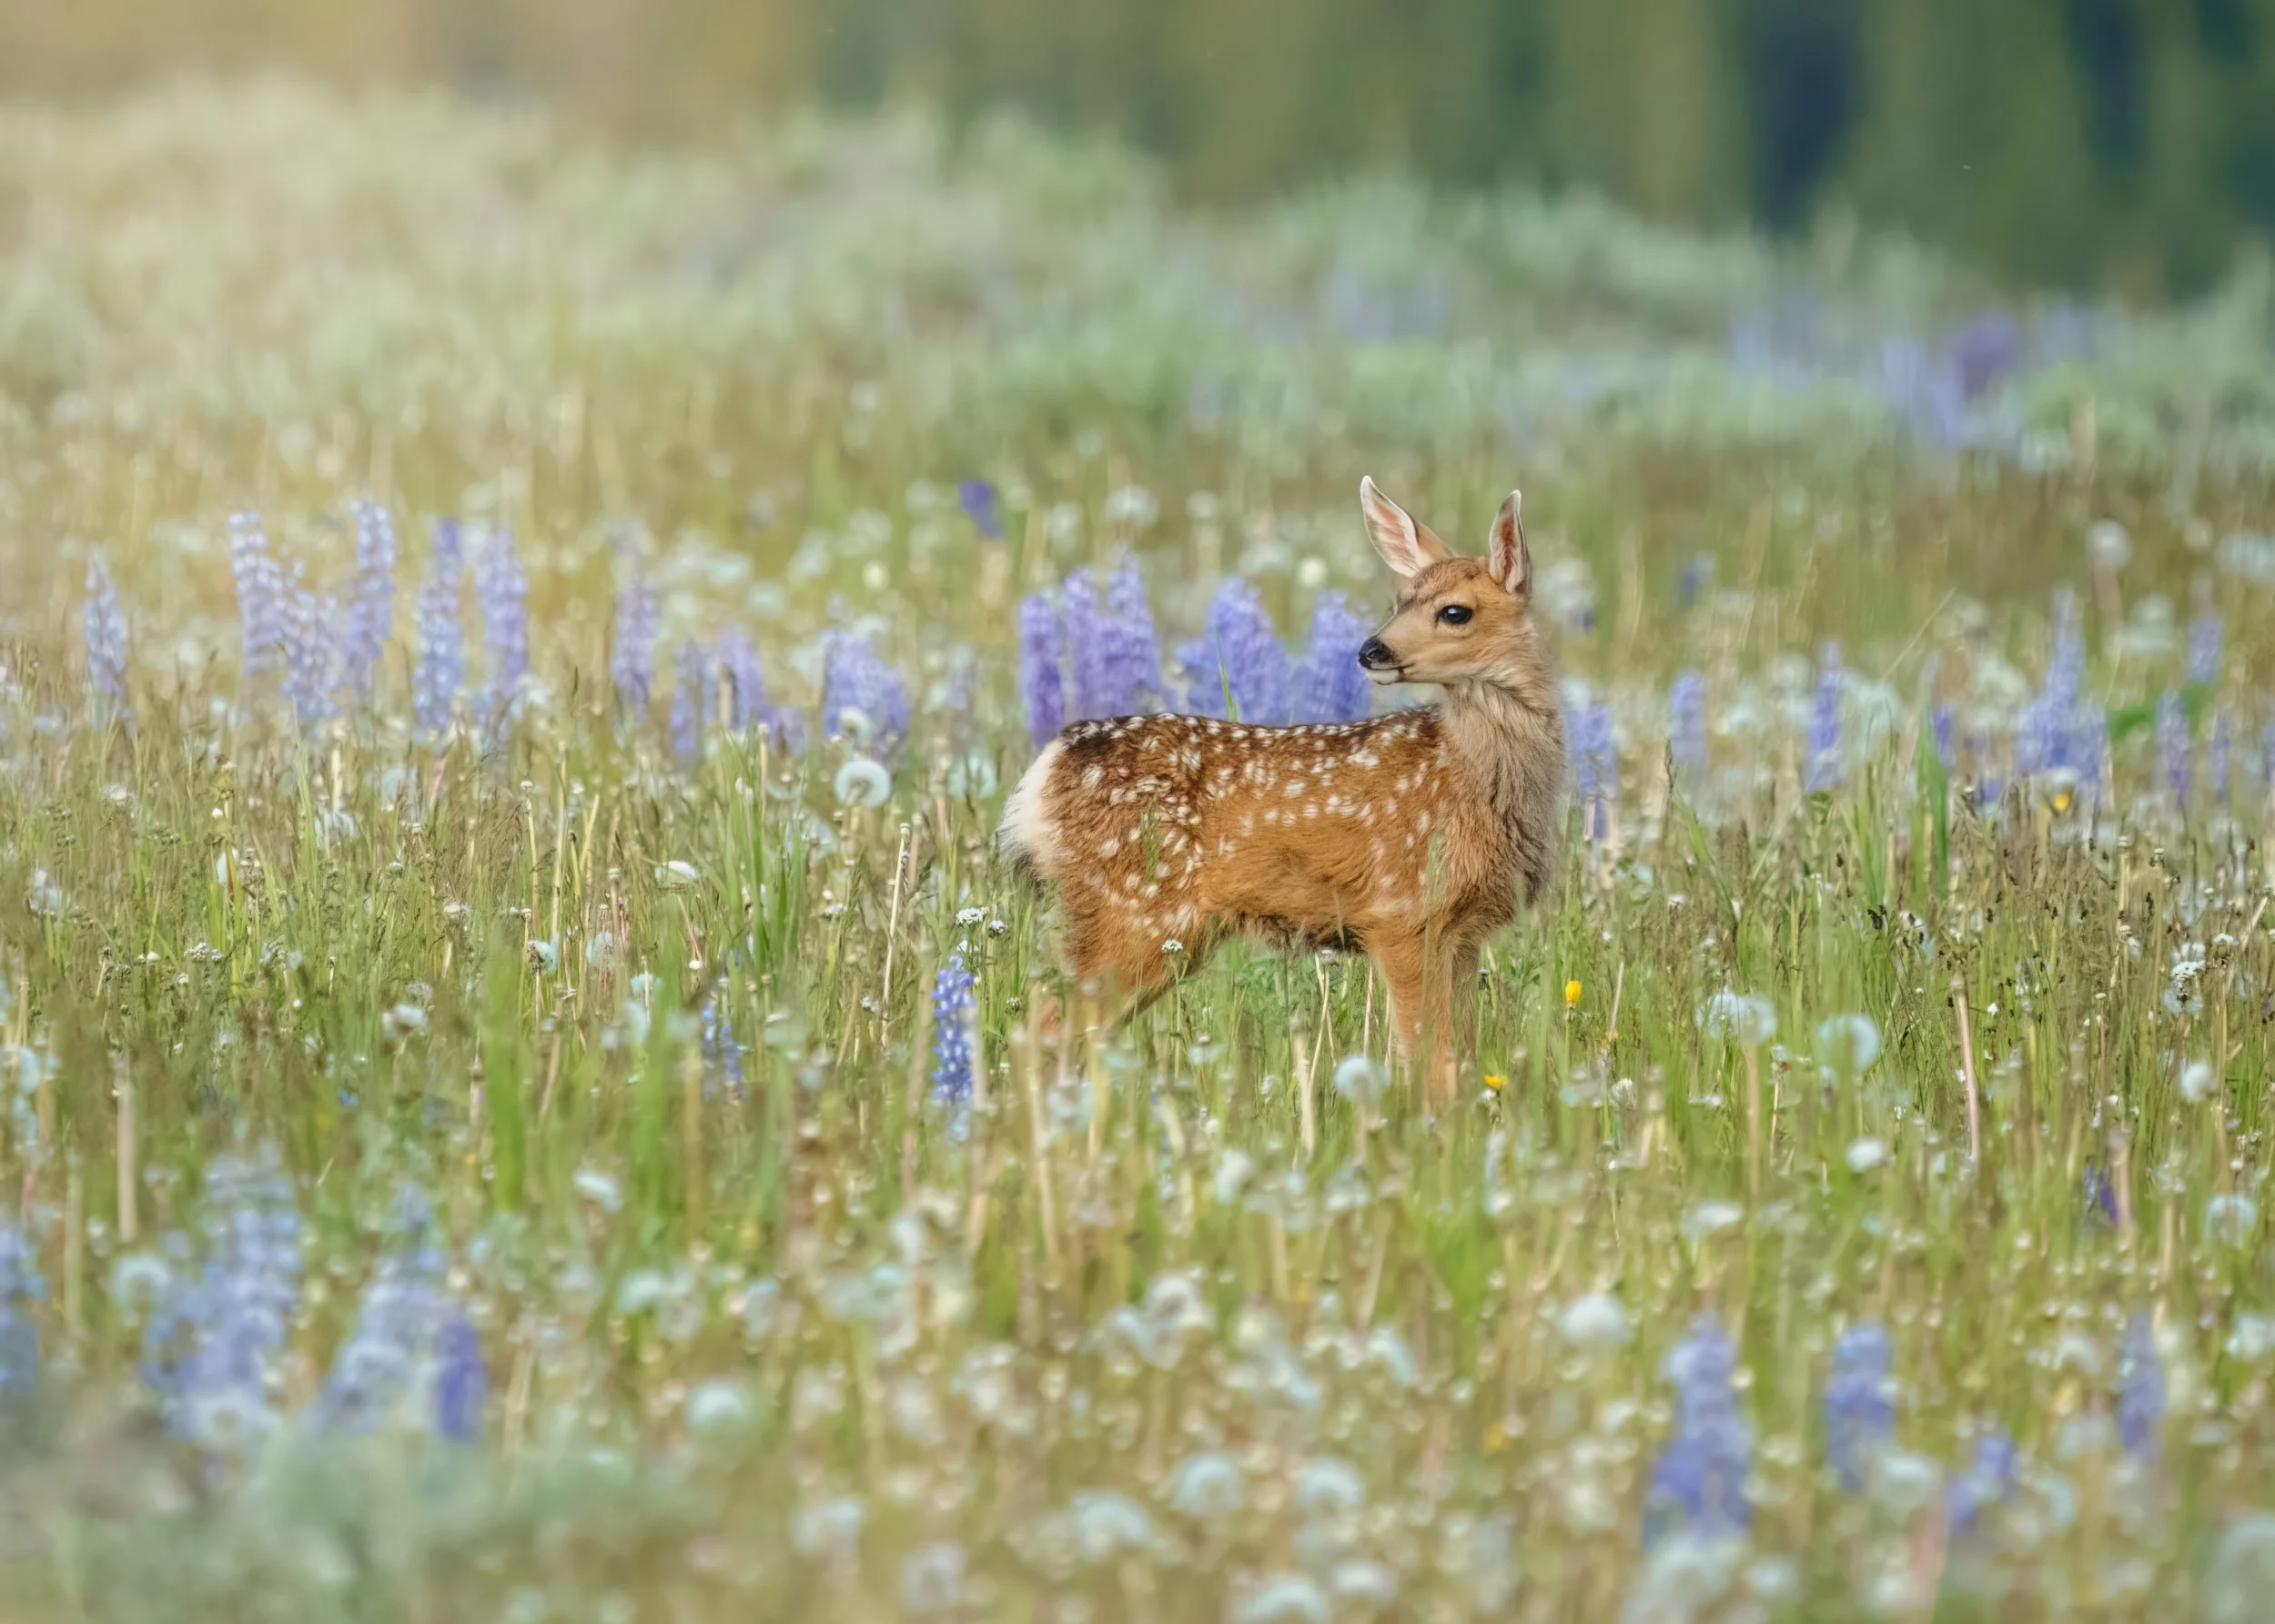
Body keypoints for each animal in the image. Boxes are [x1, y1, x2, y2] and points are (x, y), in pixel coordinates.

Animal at [999, 477, 1564, 1101]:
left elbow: (1459, 1060)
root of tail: (1048, 767)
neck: (1479, 780)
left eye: (1455, 611)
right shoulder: (1402, 914)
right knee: (1041, 1031)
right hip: (1131, 911)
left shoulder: (1460, 932)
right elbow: (1429, 1064)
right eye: (1399, 602)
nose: (1372, 650)